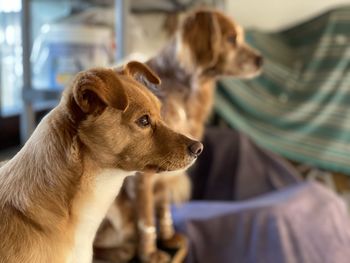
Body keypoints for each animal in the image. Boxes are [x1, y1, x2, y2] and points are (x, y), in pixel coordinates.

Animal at [93, 7, 262, 262]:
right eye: (232, 38)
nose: (261, 59)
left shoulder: (167, 172)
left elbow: (162, 208)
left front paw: (167, 236)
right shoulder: (141, 178)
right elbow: (146, 217)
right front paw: (150, 252)